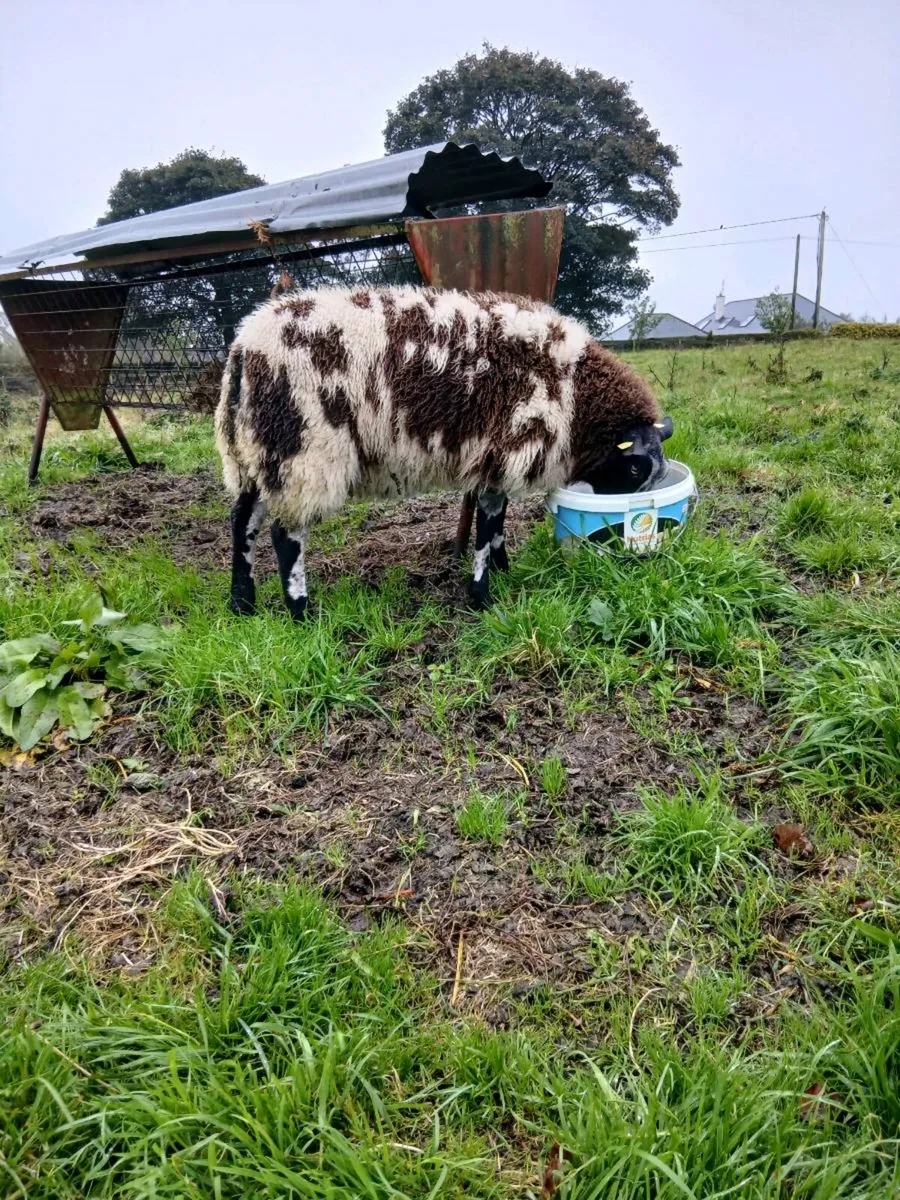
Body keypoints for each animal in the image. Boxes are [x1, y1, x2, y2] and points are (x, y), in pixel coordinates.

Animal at [215, 284, 673, 619]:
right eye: (635, 469)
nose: (624, 519)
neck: (575, 393)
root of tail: (243, 348)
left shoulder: (494, 461)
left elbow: (497, 523)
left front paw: (503, 572)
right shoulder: (505, 447)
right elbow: (487, 530)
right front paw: (483, 598)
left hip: (262, 453)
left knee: (243, 522)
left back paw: (242, 603)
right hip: (305, 451)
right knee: (285, 535)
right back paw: (301, 612)